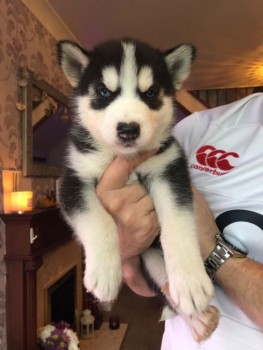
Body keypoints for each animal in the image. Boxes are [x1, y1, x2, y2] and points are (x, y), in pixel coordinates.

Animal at [57, 38, 214, 320]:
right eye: (104, 92)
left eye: (150, 93)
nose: (128, 130)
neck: (124, 157)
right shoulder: (74, 179)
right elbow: (99, 220)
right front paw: (104, 274)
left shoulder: (169, 169)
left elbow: (178, 222)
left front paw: (191, 281)